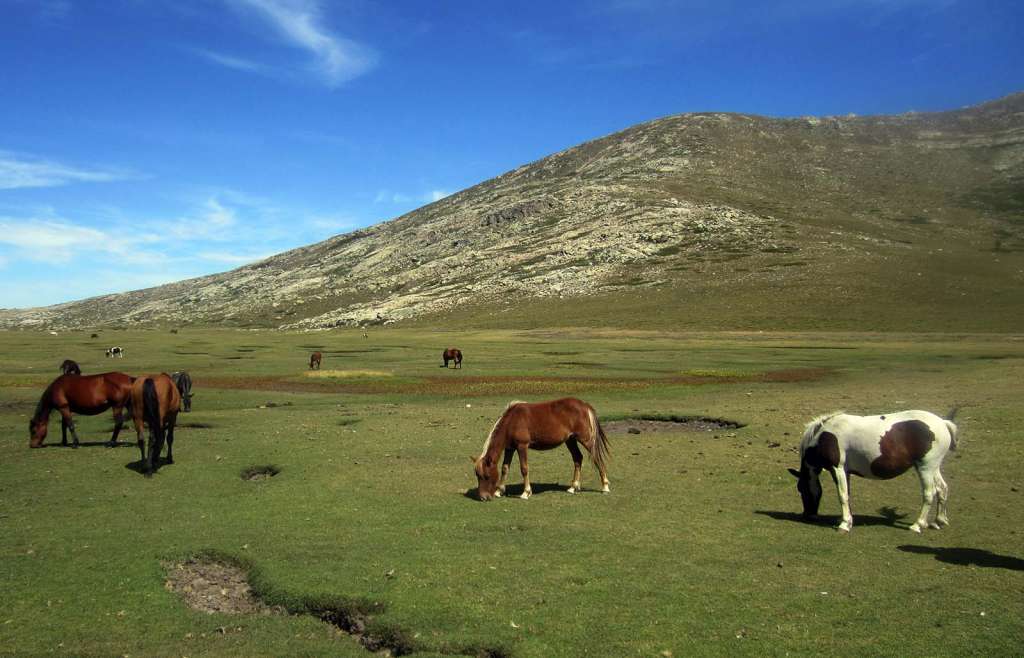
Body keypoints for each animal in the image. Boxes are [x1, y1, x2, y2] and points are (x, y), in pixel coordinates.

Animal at [472, 397, 611, 501]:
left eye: (486, 476)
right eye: (477, 476)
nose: (483, 497)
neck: (512, 421)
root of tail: (585, 405)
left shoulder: (522, 446)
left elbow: (524, 469)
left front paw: (526, 492)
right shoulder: (509, 448)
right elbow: (505, 468)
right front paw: (499, 491)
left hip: (585, 439)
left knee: (596, 458)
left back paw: (605, 486)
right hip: (570, 440)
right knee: (577, 458)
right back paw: (573, 487)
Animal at [788, 409, 958, 533]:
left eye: (801, 489)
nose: (807, 515)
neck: (826, 435)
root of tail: (943, 423)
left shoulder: (838, 469)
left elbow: (842, 495)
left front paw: (844, 524)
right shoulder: (846, 472)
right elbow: (847, 494)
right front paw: (847, 520)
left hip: (926, 468)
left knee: (929, 493)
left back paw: (917, 525)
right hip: (933, 468)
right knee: (942, 489)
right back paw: (939, 521)